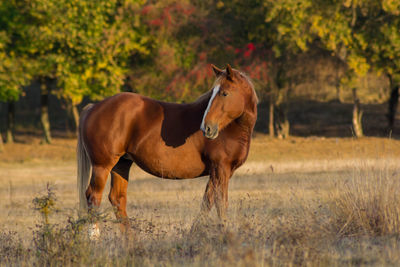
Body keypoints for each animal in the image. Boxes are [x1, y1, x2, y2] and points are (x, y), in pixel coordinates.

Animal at [76, 65, 258, 239]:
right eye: (214, 93)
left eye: (224, 93)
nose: (206, 127)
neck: (231, 129)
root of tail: (93, 107)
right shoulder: (221, 168)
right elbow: (221, 204)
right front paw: (226, 234)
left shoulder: (217, 171)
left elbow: (207, 202)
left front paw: (194, 235)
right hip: (102, 166)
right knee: (93, 196)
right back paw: (95, 238)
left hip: (121, 164)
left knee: (117, 199)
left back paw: (131, 242)